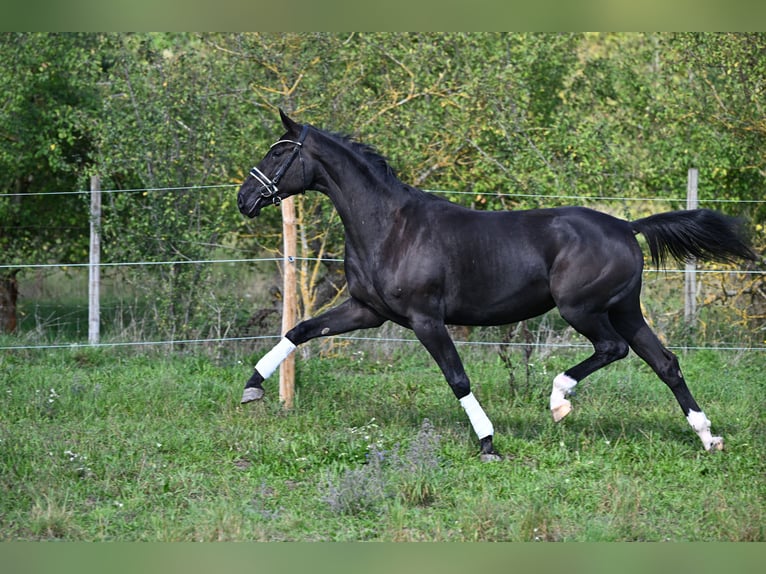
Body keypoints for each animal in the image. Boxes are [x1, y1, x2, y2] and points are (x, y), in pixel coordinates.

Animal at [236, 109, 757, 461]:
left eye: (279, 151)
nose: (245, 198)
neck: (390, 226)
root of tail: (627, 227)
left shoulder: (426, 319)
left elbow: (457, 377)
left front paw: (488, 443)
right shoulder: (367, 311)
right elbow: (300, 330)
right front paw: (252, 387)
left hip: (582, 309)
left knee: (613, 349)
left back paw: (559, 401)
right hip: (625, 309)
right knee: (665, 362)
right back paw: (708, 437)